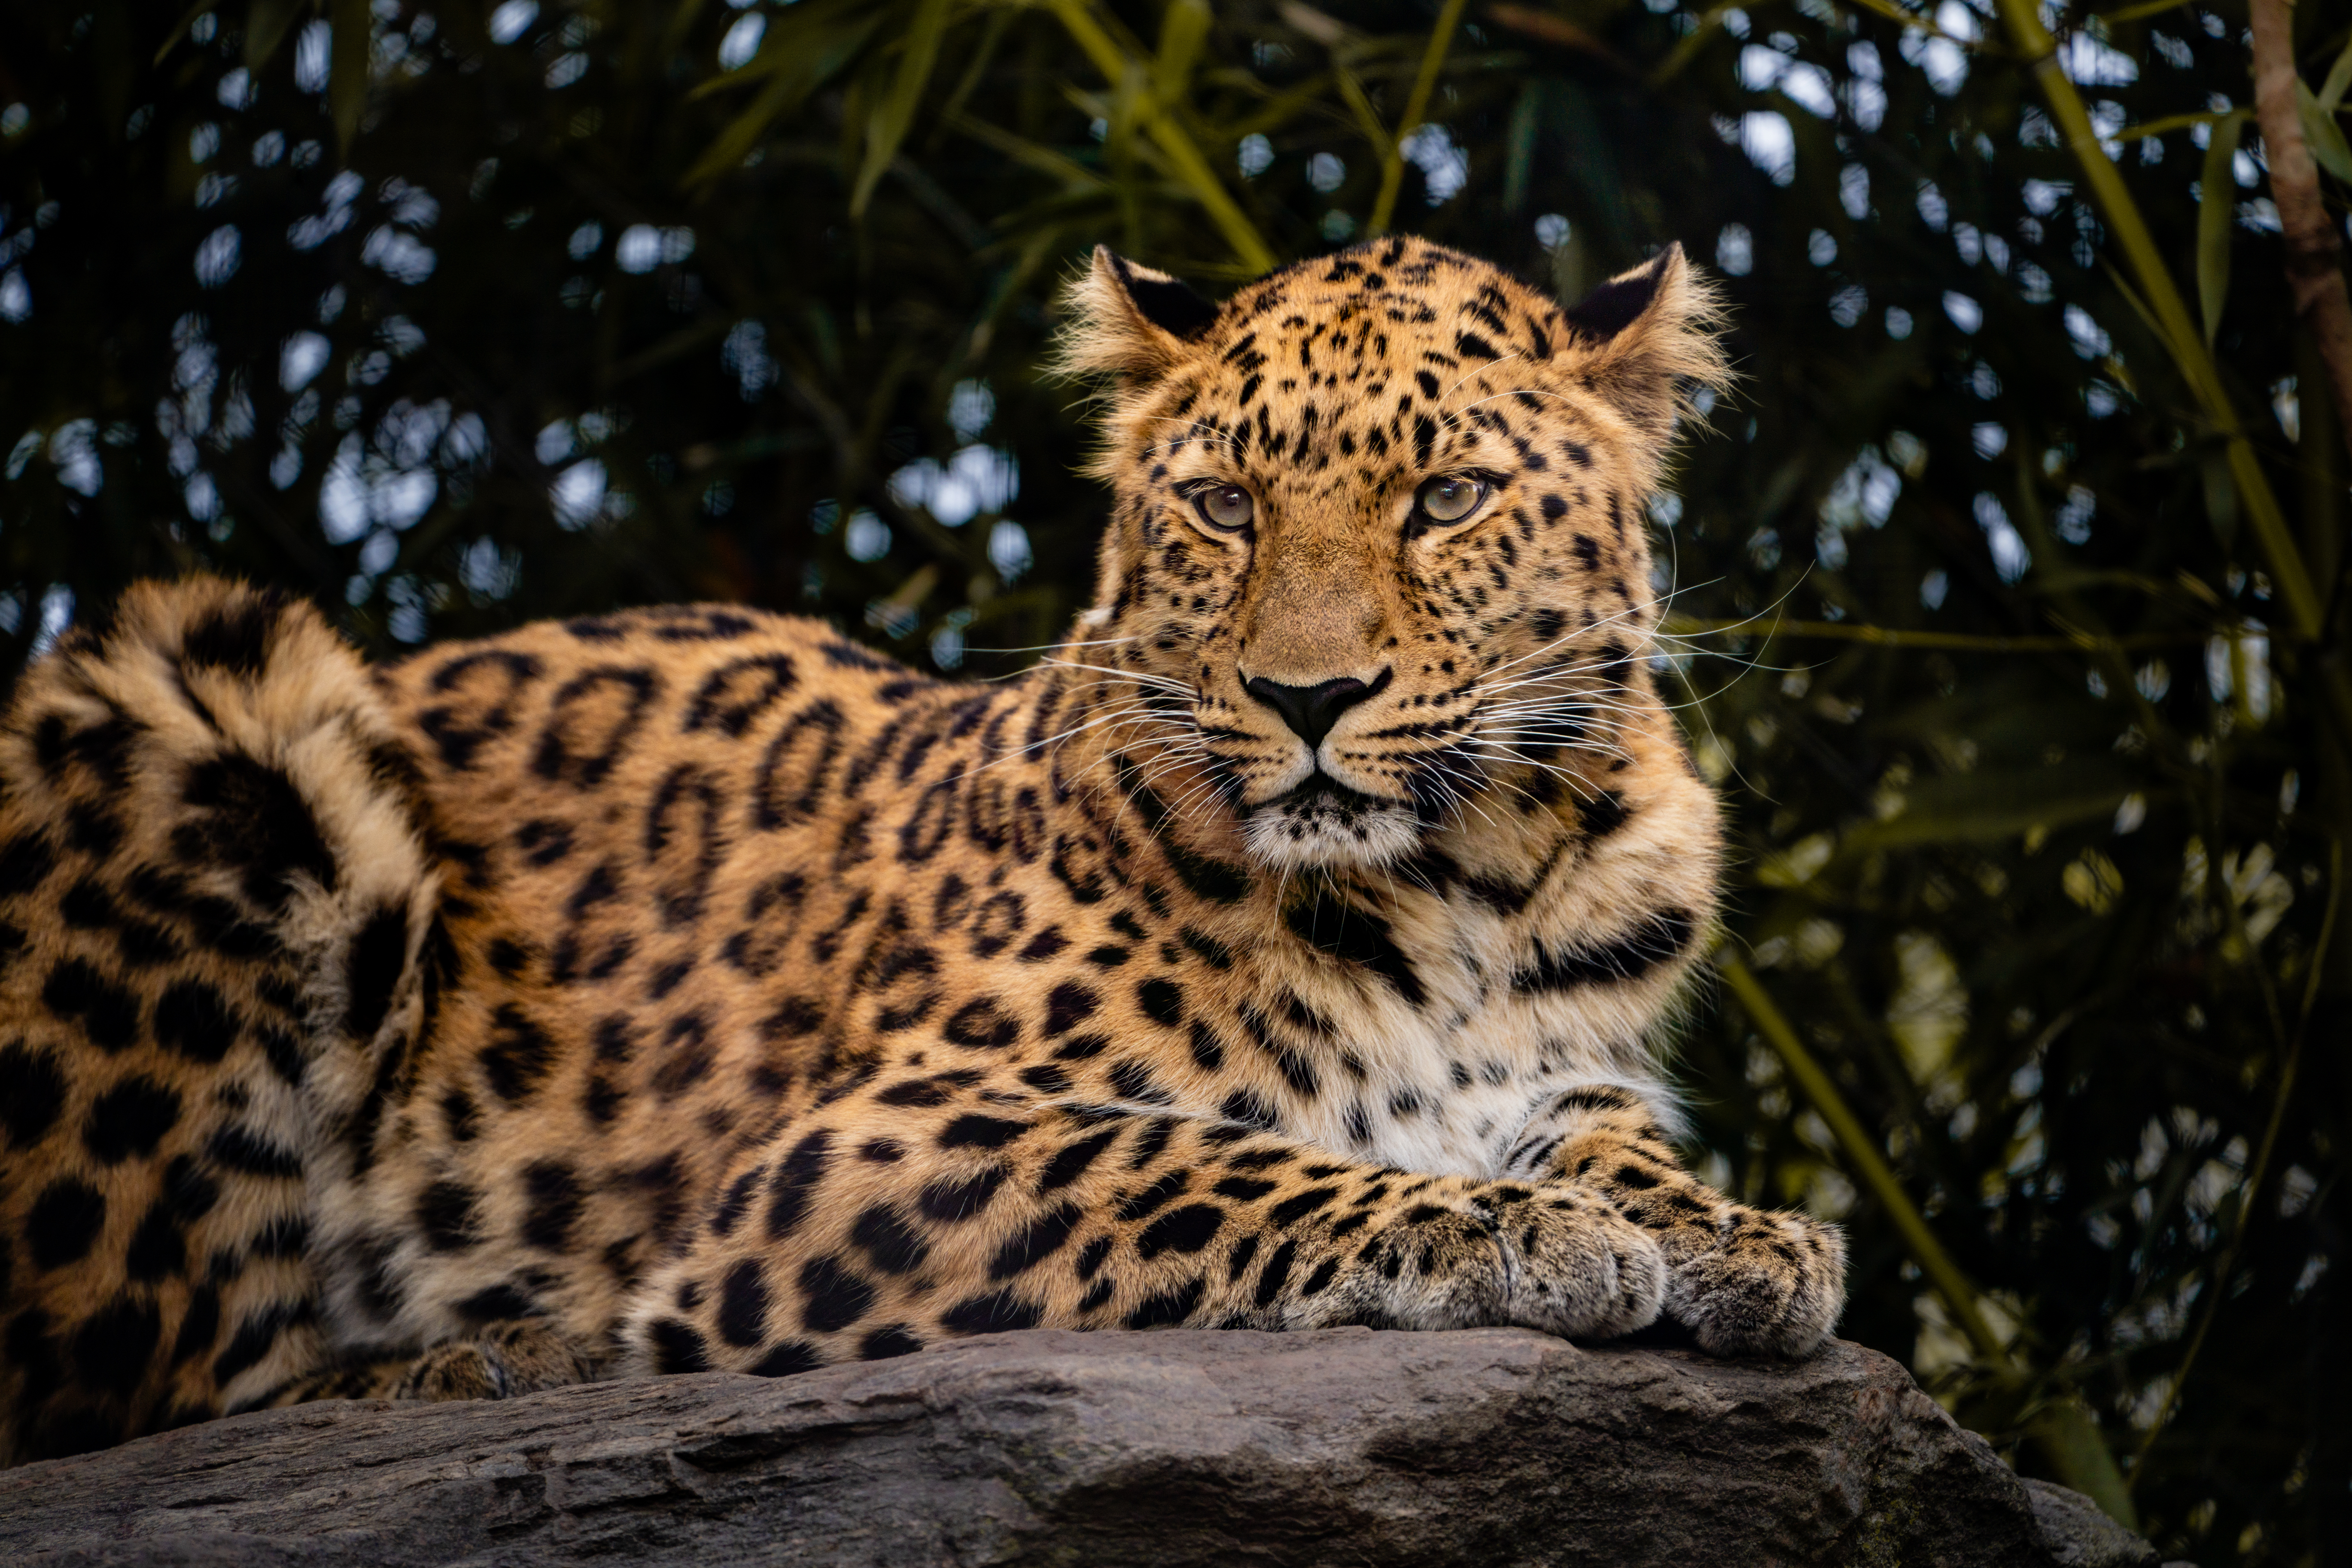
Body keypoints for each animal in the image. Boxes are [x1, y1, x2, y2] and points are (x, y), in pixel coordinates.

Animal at [0, 235, 1844, 1465]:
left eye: (1445, 498)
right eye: (1225, 505)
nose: (1304, 697)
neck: (1466, 877)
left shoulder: (1572, 1064)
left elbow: (1616, 1148)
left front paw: (1740, 1232)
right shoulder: (862, 1147)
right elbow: (1228, 1163)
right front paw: (1520, 1234)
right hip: (190, 699)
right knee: (143, 1388)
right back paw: (477, 1362)